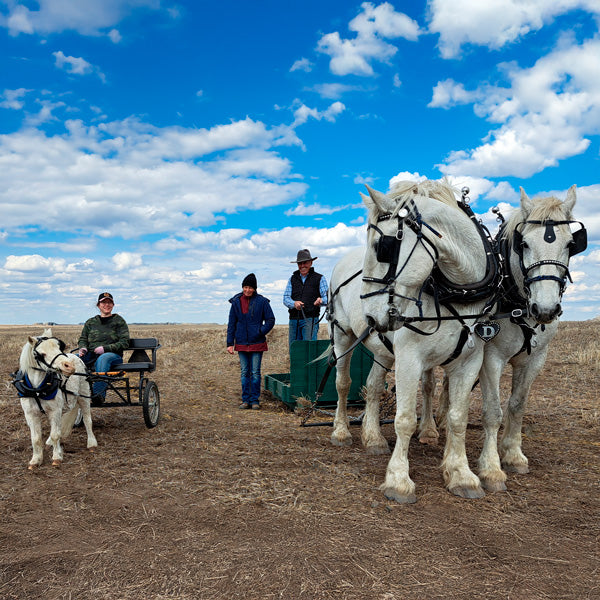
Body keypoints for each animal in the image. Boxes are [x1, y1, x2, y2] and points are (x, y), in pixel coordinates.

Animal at [14, 330, 96, 466]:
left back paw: (92, 443)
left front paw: (57, 457)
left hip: (84, 396)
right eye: (42, 354)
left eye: (58, 347)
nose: (69, 366)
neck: (37, 389)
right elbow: (36, 438)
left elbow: (55, 434)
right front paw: (36, 459)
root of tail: (77, 357)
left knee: (87, 420)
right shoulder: (30, 414)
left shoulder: (55, 411)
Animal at [360, 179, 496, 502]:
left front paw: (461, 474)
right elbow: (405, 418)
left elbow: (457, 417)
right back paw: (342, 431)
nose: (369, 317)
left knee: (372, 388)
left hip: (383, 354)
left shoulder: (470, 360)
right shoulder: (408, 358)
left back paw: (373, 438)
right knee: (342, 383)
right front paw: (398, 479)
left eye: (382, 248)